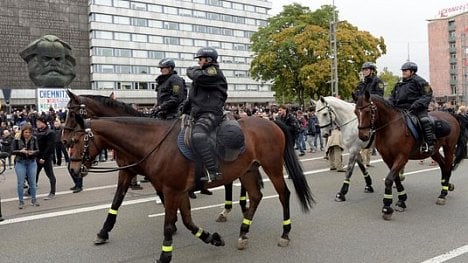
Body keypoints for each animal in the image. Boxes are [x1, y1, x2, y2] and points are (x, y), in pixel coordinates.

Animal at [66, 114, 314, 262]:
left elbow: (168, 225)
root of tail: (271, 121)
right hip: (248, 171)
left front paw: (164, 256)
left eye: (76, 141)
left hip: (272, 166)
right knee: (255, 197)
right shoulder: (177, 190)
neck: (155, 144)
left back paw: (285, 233)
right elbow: (187, 220)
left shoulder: (172, 191)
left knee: (284, 194)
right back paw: (243, 233)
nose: (73, 169)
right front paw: (212, 238)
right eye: (68, 141)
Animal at [354, 93, 464, 221]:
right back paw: (446, 186)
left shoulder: (402, 157)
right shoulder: (388, 158)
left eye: (368, 111)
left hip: (449, 148)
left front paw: (387, 207)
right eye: (355, 112)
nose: (363, 136)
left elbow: (389, 179)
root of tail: (451, 115)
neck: (391, 127)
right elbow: (395, 178)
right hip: (434, 151)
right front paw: (401, 200)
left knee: (448, 166)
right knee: (443, 165)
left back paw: (443, 193)